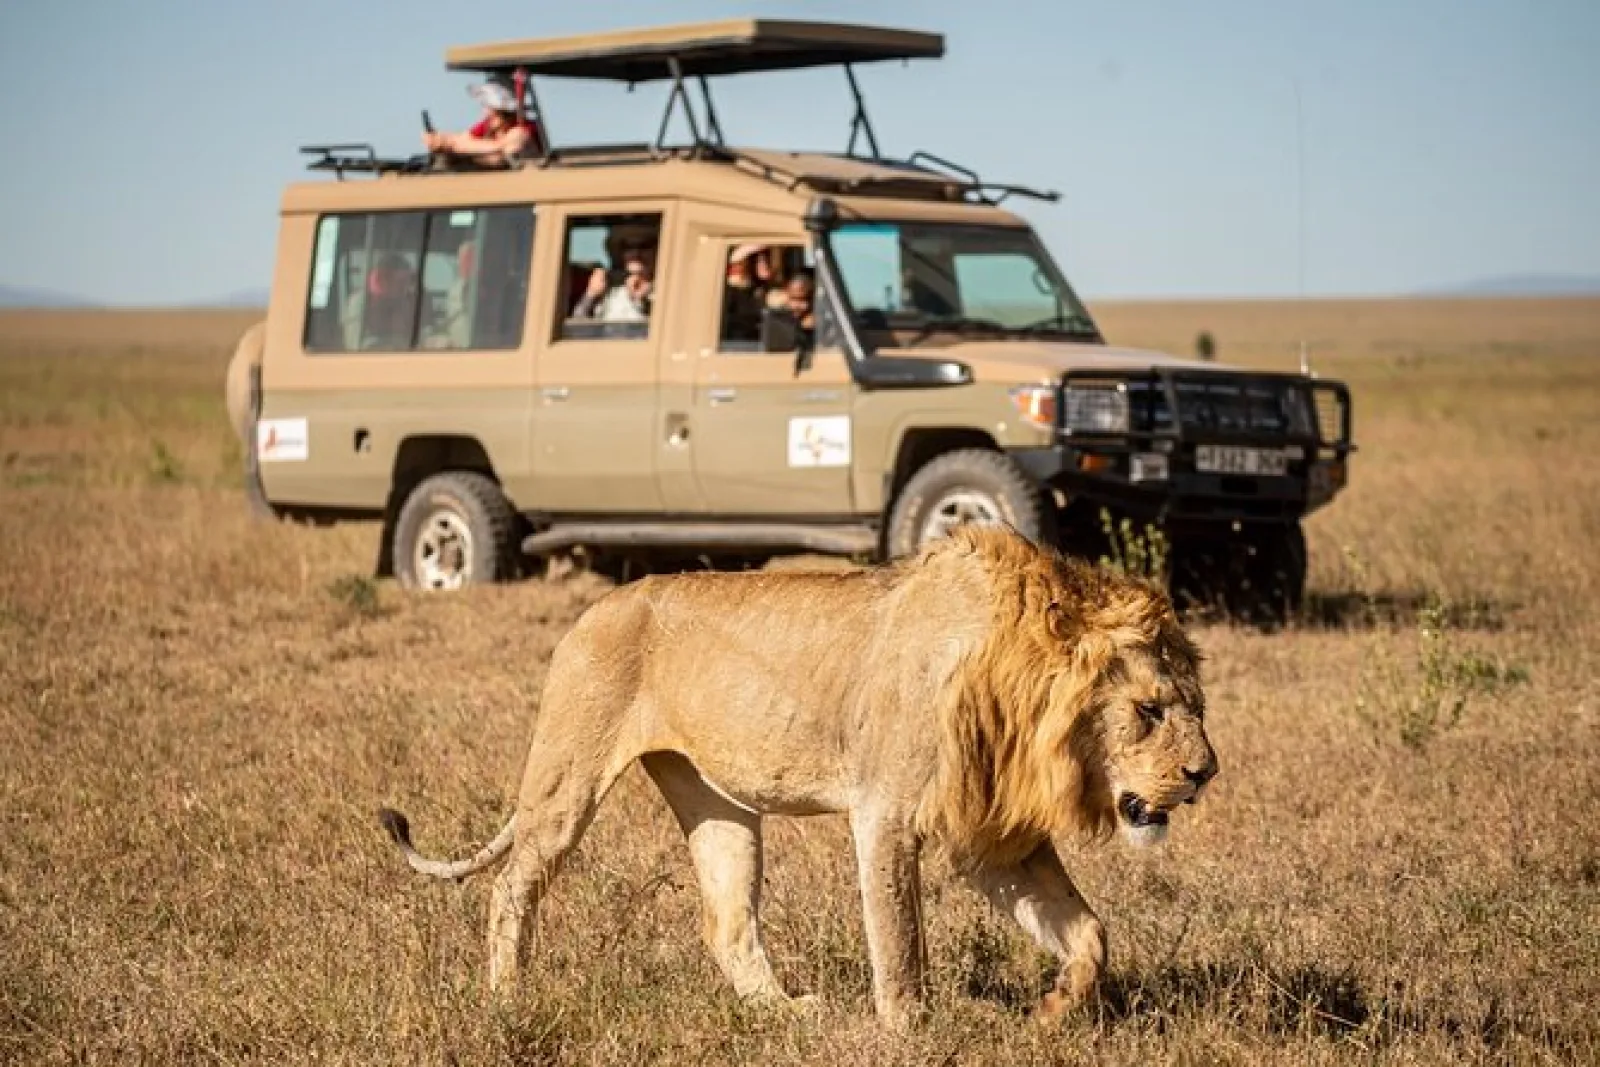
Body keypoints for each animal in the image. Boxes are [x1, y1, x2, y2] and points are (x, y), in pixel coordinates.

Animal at [378, 524, 1217, 1026]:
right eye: (1147, 709)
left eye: (1195, 705)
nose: (1205, 772)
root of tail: (593, 606)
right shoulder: (886, 812)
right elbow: (900, 938)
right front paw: (910, 1030)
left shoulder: (989, 831)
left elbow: (1088, 929)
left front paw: (1054, 1010)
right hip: (567, 776)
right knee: (511, 883)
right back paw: (507, 995)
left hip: (718, 805)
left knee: (725, 922)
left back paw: (784, 1012)